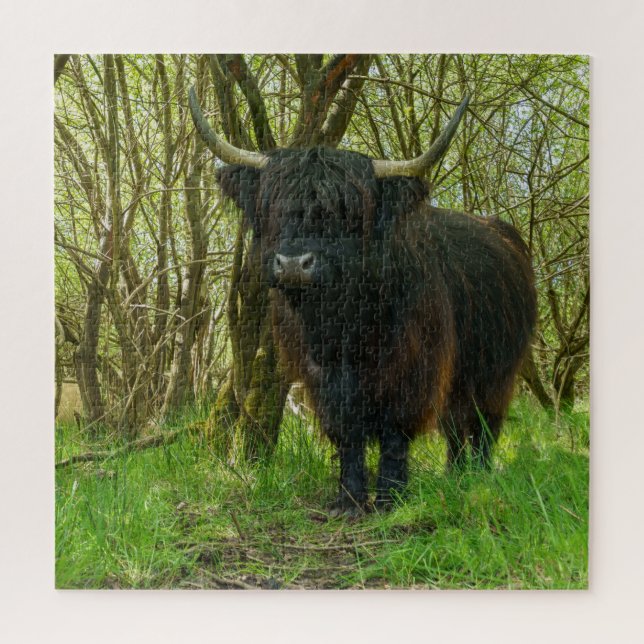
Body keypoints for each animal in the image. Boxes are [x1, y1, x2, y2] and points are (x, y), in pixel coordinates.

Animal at [189, 87, 537, 517]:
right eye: (272, 206)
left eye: (347, 213)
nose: (294, 264)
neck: (344, 325)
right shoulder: (320, 377)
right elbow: (347, 434)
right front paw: (349, 498)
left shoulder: (412, 370)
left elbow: (393, 433)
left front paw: (390, 497)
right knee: (456, 426)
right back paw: (454, 476)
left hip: (497, 371)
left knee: (484, 423)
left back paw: (479, 476)